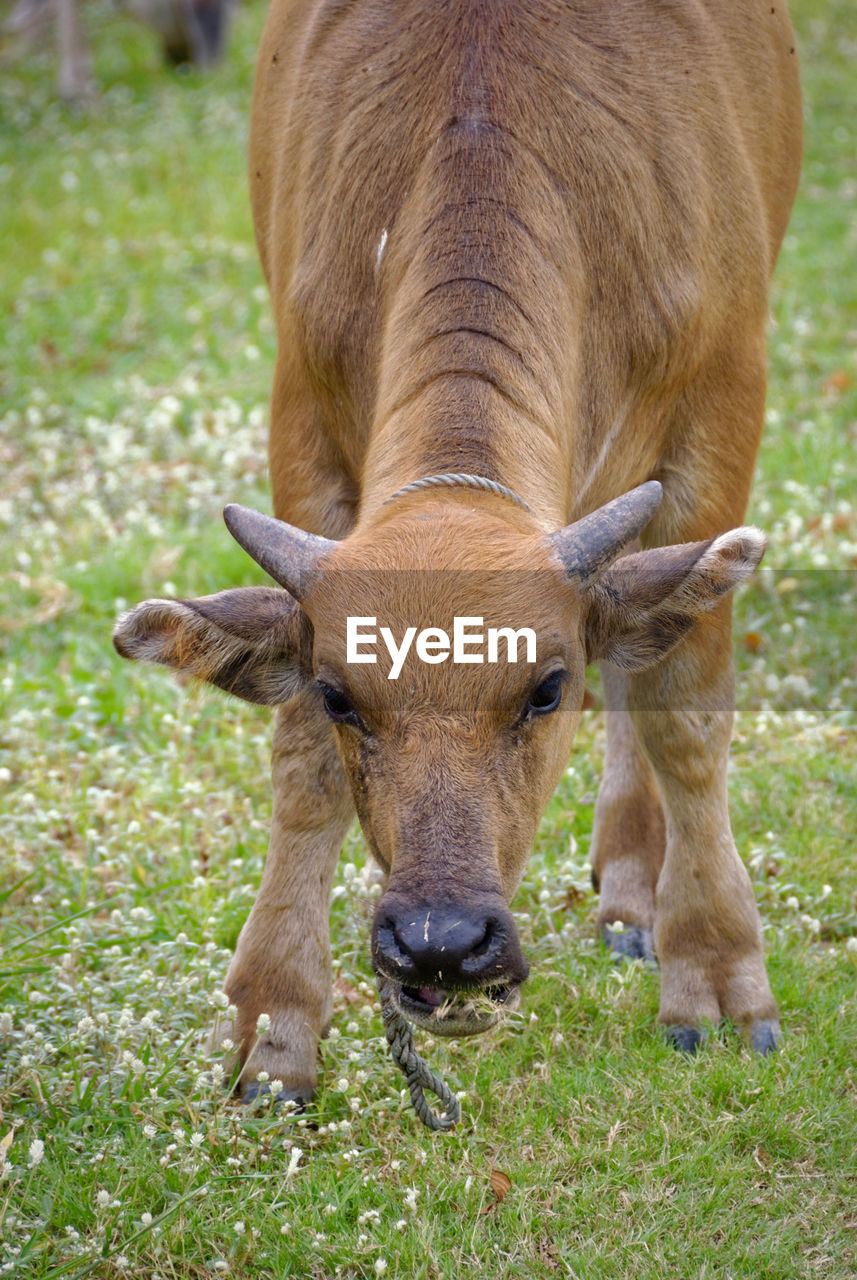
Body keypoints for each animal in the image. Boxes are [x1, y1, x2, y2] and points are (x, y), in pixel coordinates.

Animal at [110, 0, 803, 1100]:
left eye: (546, 688)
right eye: (341, 694)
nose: (443, 946)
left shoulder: (722, 405)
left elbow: (684, 715)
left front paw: (716, 971)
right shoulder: (302, 417)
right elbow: (300, 764)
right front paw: (279, 1022)